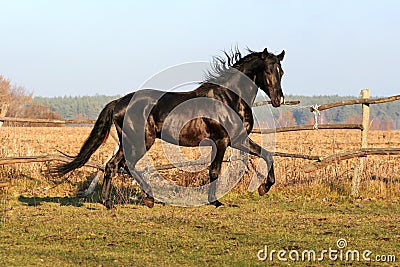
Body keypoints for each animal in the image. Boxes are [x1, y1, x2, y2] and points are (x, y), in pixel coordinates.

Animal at [54, 48, 284, 208]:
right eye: (268, 70)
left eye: (281, 71)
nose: (279, 100)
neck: (228, 98)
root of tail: (119, 102)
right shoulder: (222, 141)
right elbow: (215, 171)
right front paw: (216, 202)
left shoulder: (238, 139)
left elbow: (267, 154)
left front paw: (264, 188)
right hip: (139, 140)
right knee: (117, 166)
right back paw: (113, 203)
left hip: (132, 141)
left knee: (123, 166)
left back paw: (145, 199)